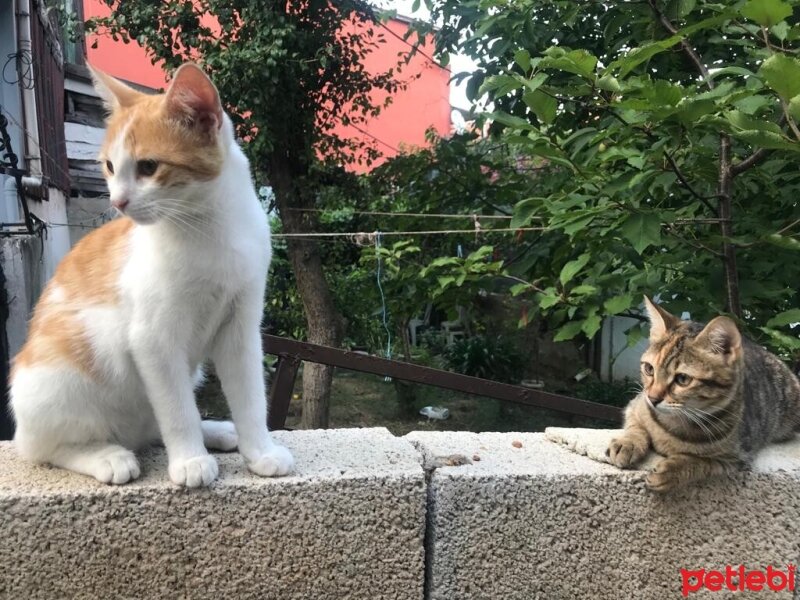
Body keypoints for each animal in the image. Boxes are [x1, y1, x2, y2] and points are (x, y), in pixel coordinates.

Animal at [9, 63, 294, 488]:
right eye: (110, 166)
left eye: (148, 167)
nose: (117, 202)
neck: (210, 229)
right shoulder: (153, 339)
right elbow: (177, 410)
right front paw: (190, 460)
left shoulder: (241, 327)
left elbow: (250, 398)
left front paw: (260, 452)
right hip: (56, 379)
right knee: (44, 447)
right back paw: (108, 456)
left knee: (153, 424)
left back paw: (215, 431)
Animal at [608, 298, 800, 492]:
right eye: (649, 369)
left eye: (683, 379)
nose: (653, 399)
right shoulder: (635, 405)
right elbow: (636, 426)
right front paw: (628, 443)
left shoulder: (735, 459)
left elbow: (701, 462)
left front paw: (672, 470)